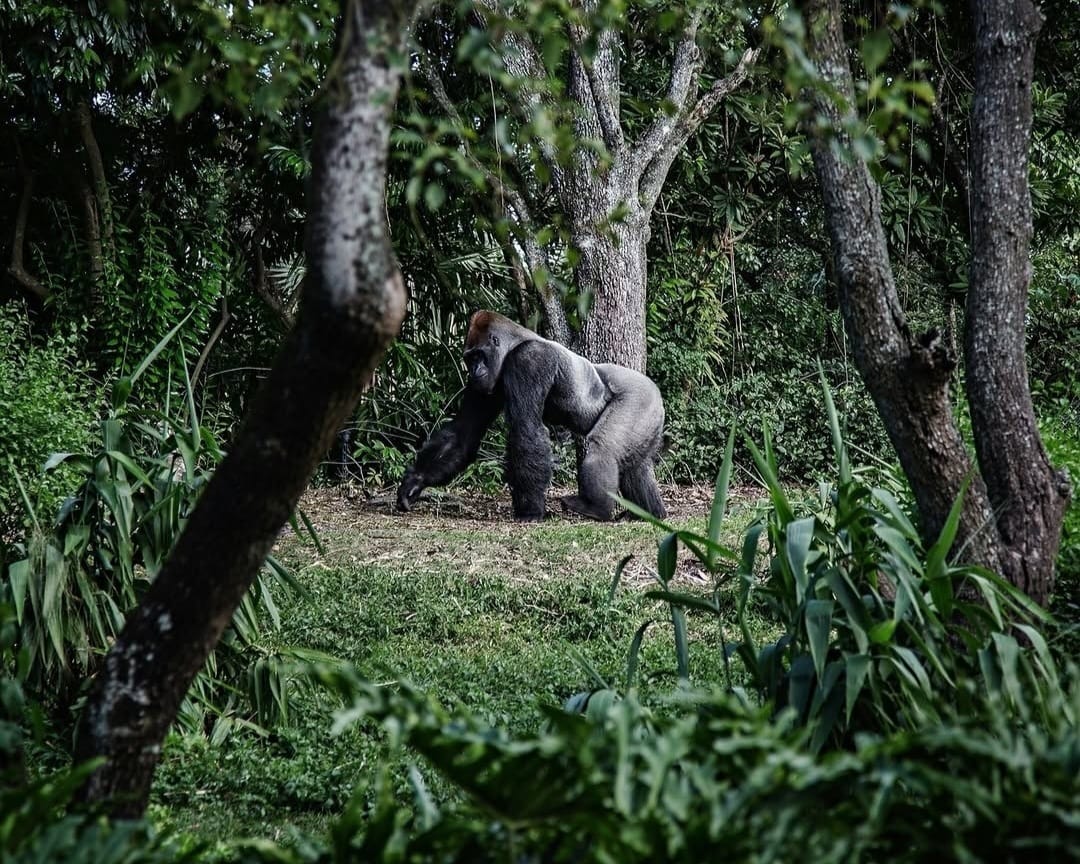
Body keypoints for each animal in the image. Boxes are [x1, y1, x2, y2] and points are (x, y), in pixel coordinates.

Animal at [396, 310, 666, 521]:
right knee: (635, 465)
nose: (474, 371)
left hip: (640, 397)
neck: (514, 343)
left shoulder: (529, 360)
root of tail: (656, 391)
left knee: (603, 447)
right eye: (469, 359)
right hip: (649, 414)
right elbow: (464, 433)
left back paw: (596, 508)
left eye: (478, 356)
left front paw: (530, 511)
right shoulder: (484, 384)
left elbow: (525, 428)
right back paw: (649, 513)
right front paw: (415, 481)